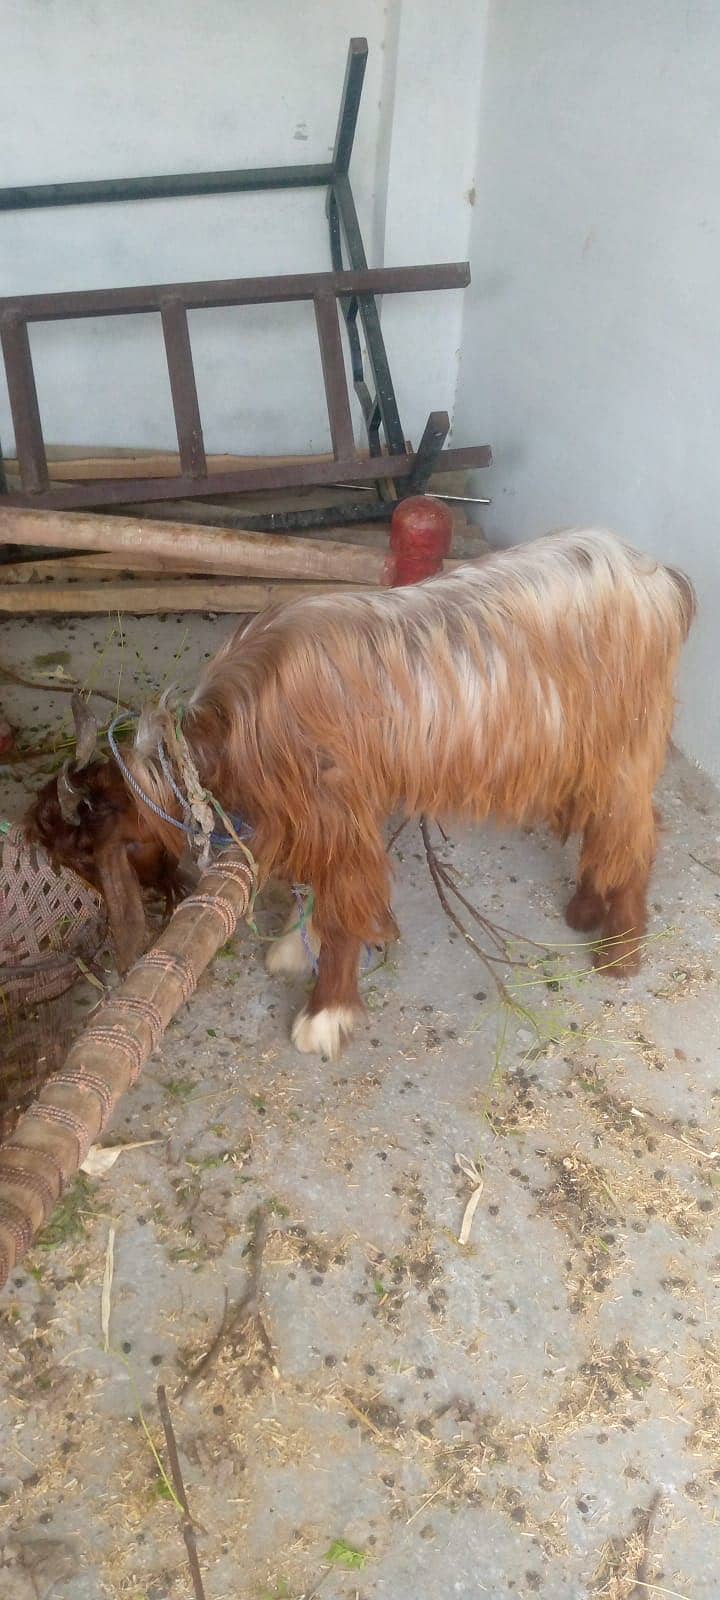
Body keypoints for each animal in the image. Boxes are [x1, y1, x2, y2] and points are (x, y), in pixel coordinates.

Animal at [114, 527, 694, 1058]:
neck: (232, 723)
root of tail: (660, 578)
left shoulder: (335, 810)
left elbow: (344, 906)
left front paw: (326, 1012)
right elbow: (321, 890)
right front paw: (301, 946)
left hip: (623, 745)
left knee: (637, 835)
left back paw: (620, 951)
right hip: (575, 752)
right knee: (607, 828)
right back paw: (586, 908)